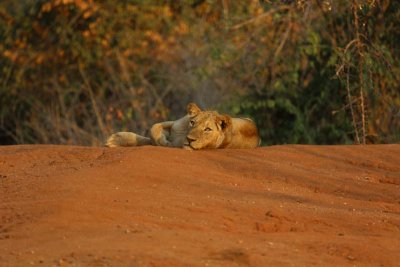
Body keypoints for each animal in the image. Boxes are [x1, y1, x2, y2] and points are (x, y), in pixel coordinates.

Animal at [105, 103, 260, 151]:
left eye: (208, 129)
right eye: (193, 123)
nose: (190, 139)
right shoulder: (174, 123)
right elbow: (154, 129)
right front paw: (115, 140)